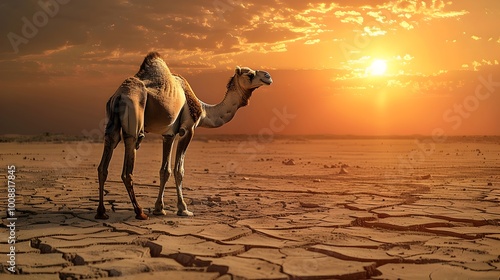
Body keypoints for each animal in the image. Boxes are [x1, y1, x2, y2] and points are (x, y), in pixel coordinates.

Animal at [94, 51, 274, 220]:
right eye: (249, 74)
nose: (268, 76)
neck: (203, 110)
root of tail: (119, 95)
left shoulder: (168, 135)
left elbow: (164, 171)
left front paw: (159, 209)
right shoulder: (187, 130)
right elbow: (179, 170)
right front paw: (183, 209)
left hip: (112, 122)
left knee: (105, 161)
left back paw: (102, 212)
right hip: (134, 122)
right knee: (128, 167)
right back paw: (139, 212)